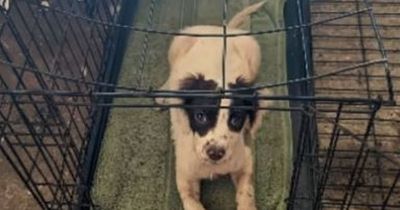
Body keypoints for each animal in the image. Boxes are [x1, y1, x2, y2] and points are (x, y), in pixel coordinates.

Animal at [155, 1, 270, 208]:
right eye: (200, 116)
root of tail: (221, 29)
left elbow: (246, 194)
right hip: (178, 42)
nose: (215, 153)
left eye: (236, 119)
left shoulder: (245, 161)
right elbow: (192, 202)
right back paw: (164, 94)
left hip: (254, 51)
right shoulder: (185, 176)